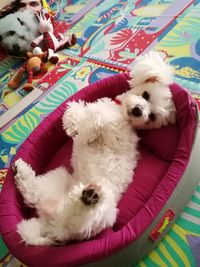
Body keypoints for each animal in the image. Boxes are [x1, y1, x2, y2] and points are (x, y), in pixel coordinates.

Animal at [13, 51, 175, 246]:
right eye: (145, 94)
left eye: (151, 117)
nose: (138, 110)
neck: (121, 113)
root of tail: (54, 226)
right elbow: (77, 108)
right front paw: (72, 124)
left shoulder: (116, 135)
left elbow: (95, 120)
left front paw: (83, 130)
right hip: (55, 181)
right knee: (33, 193)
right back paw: (22, 171)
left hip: (103, 213)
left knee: (81, 220)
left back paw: (89, 198)